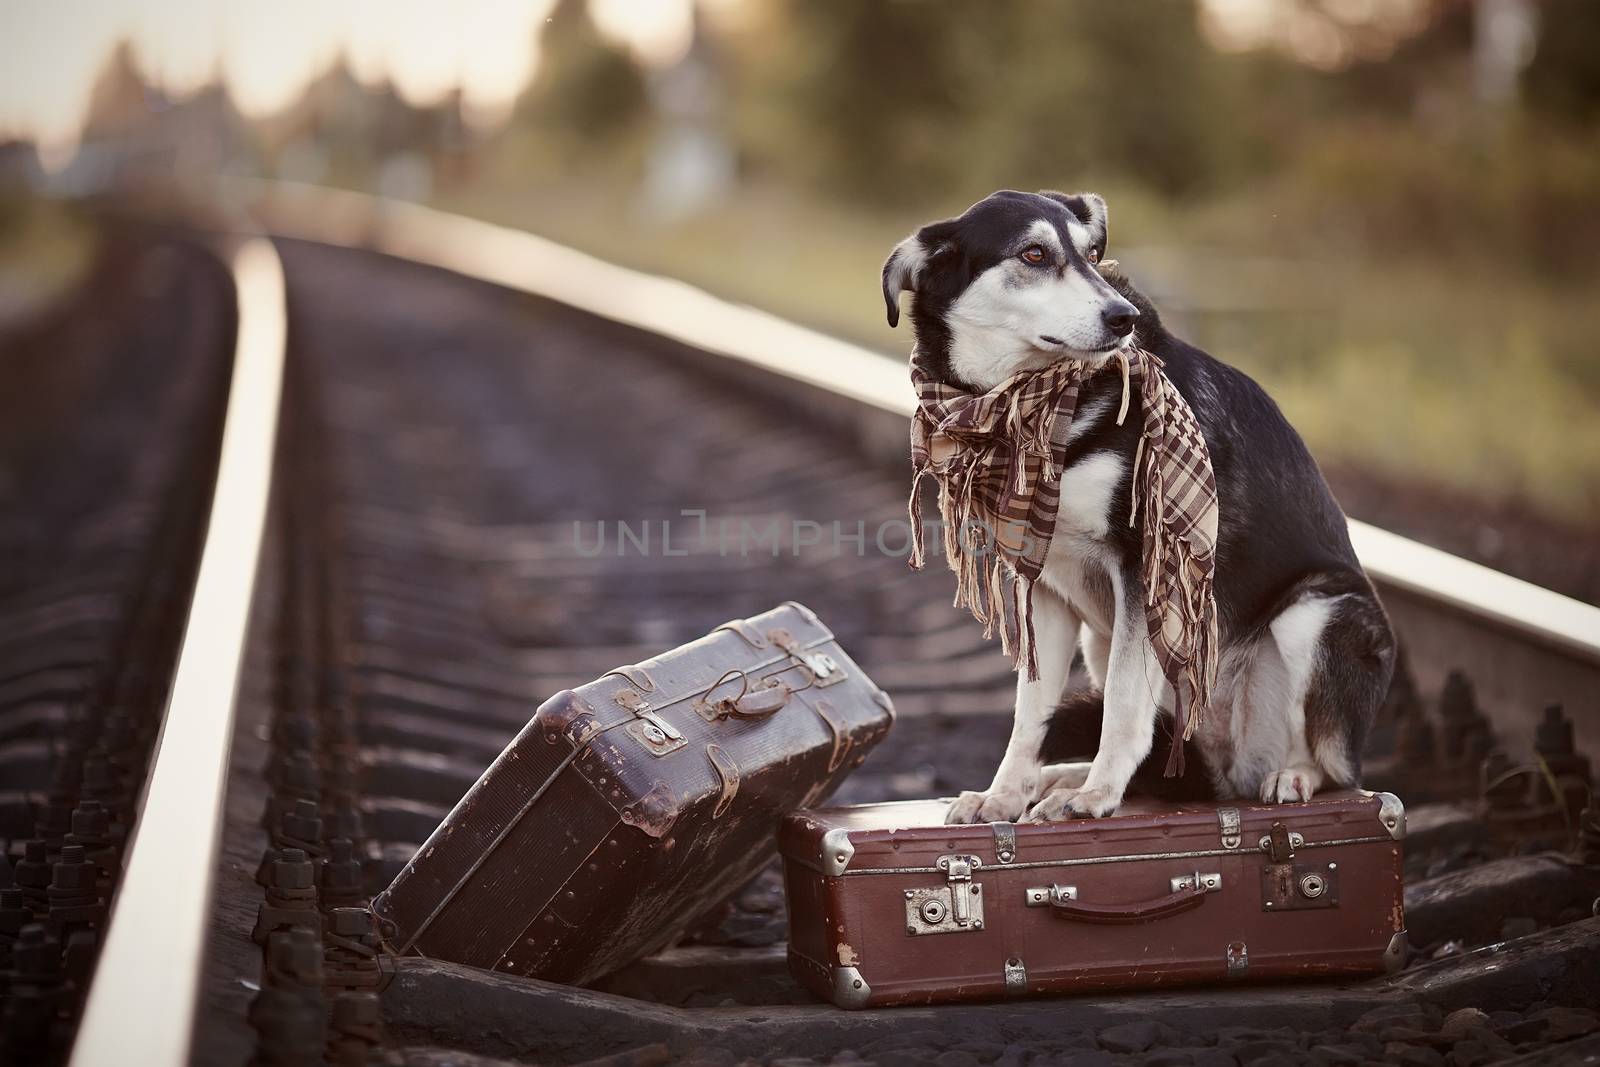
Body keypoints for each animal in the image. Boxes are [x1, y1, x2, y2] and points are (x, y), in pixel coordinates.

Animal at [883, 191, 1395, 825]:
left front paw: (1098, 795)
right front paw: (1004, 795)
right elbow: (1031, 716)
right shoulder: (1043, 586)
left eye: (1092, 253)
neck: (1023, 407)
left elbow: (1125, 706)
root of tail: (1224, 772)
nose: (1121, 317)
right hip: (1100, 640)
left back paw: (1287, 776)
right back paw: (1059, 780)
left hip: (1319, 613)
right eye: (1034, 254)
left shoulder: (1144, 568)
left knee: (1332, 765)